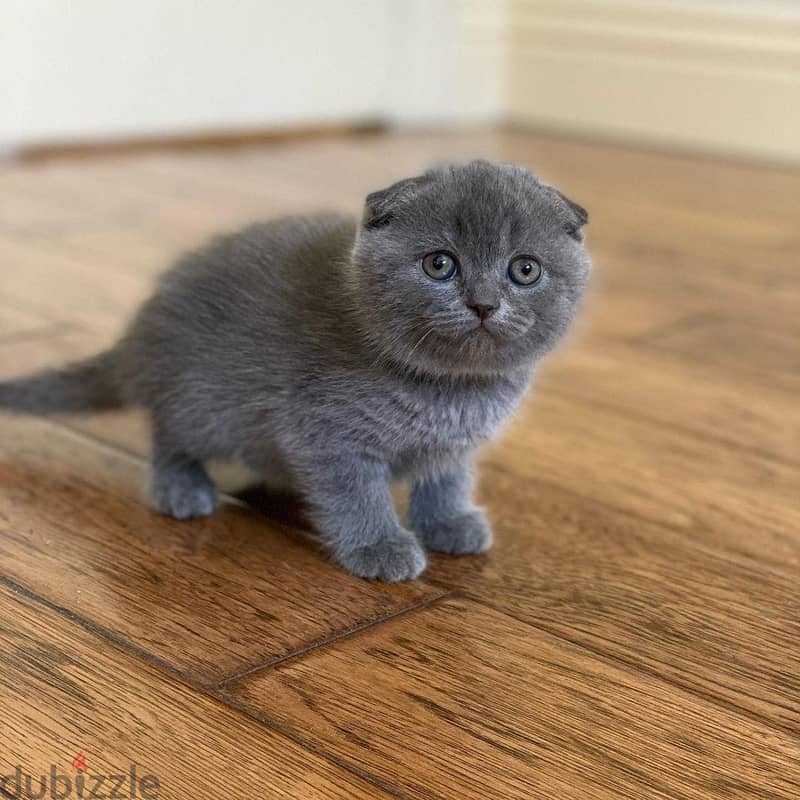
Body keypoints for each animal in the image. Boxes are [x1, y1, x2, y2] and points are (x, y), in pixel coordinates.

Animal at [0, 159, 588, 580]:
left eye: (525, 270)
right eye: (439, 264)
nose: (484, 303)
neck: (450, 390)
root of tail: (140, 332)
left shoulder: (454, 444)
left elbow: (446, 479)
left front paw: (448, 522)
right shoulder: (327, 433)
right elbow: (356, 495)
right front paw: (379, 546)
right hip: (202, 403)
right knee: (169, 435)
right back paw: (180, 488)